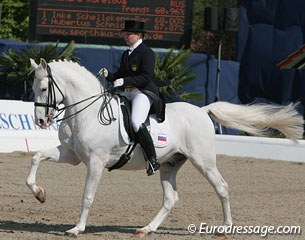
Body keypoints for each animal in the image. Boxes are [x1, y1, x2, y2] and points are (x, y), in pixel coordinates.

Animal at [27, 57, 302, 236]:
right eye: (33, 88)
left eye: (44, 88)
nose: (41, 121)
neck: (88, 113)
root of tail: (202, 111)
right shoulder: (71, 155)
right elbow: (36, 157)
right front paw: (39, 193)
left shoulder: (95, 161)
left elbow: (87, 196)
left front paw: (77, 228)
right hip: (170, 163)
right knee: (171, 198)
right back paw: (147, 229)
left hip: (203, 161)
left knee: (222, 187)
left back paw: (225, 228)